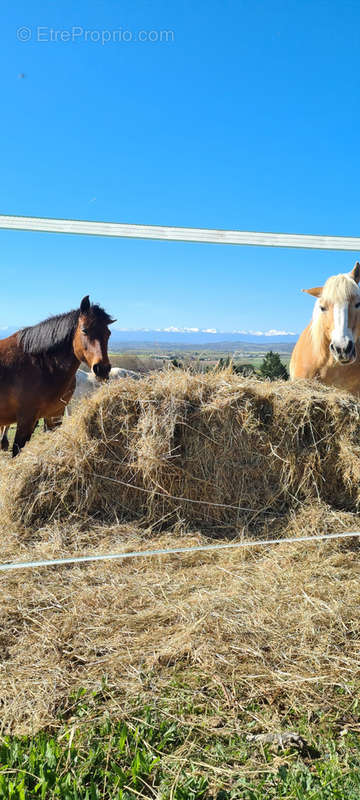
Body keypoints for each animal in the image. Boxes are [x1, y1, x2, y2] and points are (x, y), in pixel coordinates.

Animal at [0, 296, 114, 456]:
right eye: (84, 330)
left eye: (108, 333)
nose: (102, 369)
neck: (41, 365)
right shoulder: (25, 419)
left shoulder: (54, 416)